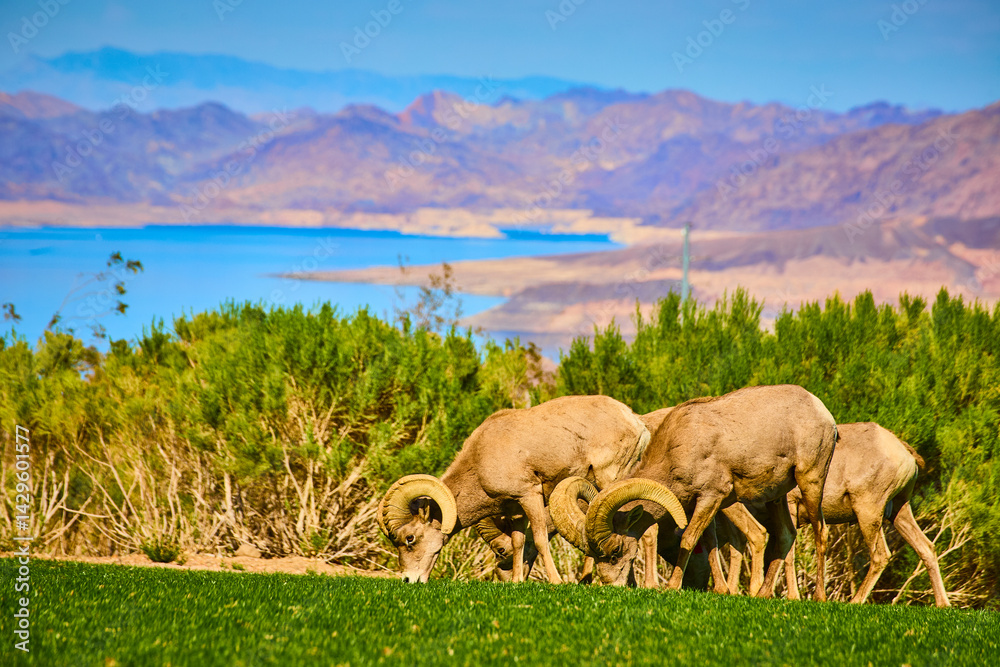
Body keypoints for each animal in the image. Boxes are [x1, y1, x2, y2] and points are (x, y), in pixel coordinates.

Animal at [376, 394, 652, 583]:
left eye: (409, 539)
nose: (408, 580)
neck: (479, 460)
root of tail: (637, 423)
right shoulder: (515, 508)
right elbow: (519, 542)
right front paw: (518, 581)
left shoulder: (530, 495)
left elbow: (539, 539)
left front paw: (557, 582)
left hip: (610, 478)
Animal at [570, 385, 838, 598]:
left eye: (615, 552)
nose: (610, 586)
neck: (678, 449)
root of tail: (824, 413)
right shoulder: (701, 504)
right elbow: (710, 543)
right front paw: (721, 590)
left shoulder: (711, 497)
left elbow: (688, 539)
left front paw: (672, 587)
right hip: (777, 496)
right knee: (785, 536)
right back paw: (762, 594)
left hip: (811, 480)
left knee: (821, 532)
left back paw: (819, 597)